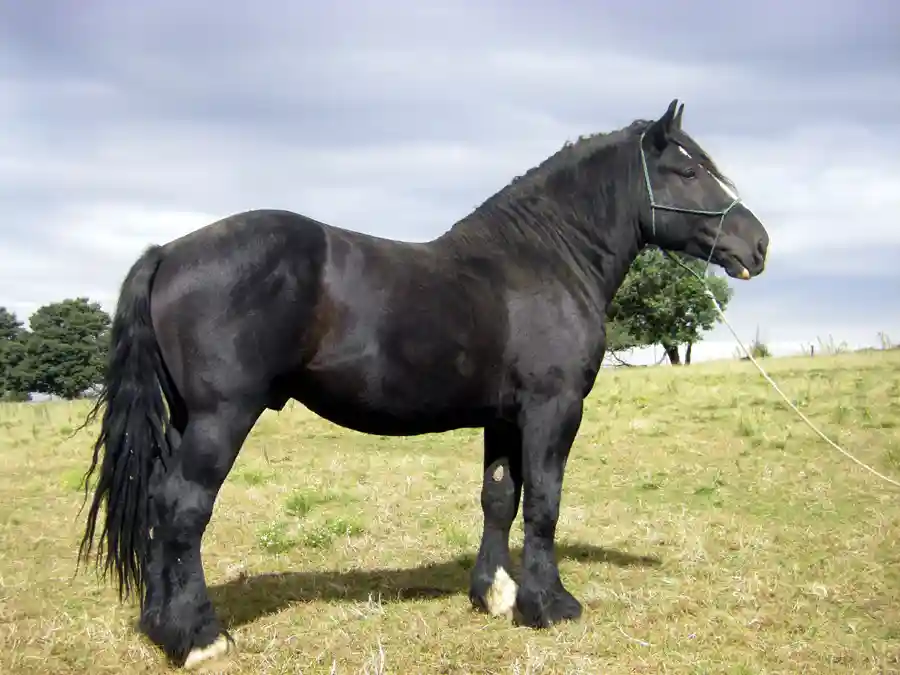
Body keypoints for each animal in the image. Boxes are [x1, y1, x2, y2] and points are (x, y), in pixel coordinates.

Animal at [77, 100, 768, 672]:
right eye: (687, 171)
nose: (758, 245)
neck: (543, 259)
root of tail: (168, 251)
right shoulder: (553, 410)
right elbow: (544, 502)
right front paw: (549, 606)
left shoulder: (504, 417)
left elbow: (500, 498)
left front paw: (495, 595)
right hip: (221, 417)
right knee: (183, 507)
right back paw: (199, 639)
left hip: (182, 419)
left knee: (157, 502)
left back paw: (161, 626)